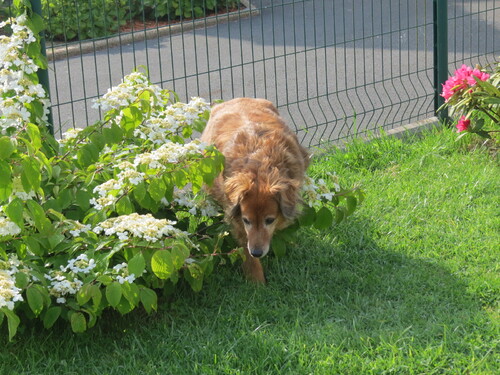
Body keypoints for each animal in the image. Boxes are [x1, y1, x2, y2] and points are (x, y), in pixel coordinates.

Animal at [199, 98, 308, 284]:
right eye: (246, 220)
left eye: (269, 220)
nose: (257, 252)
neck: (260, 167)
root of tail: (237, 99)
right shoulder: (237, 218)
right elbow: (245, 246)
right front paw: (256, 280)